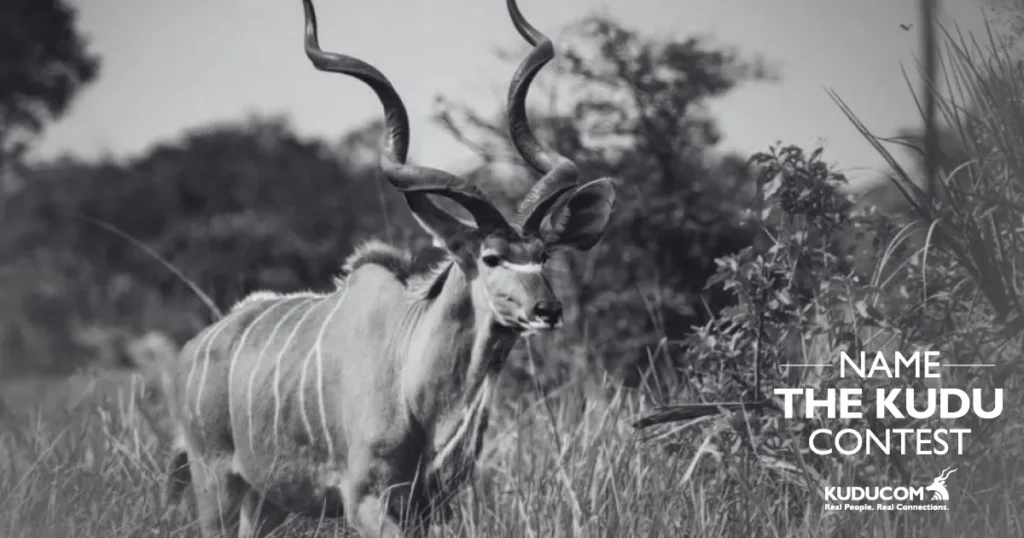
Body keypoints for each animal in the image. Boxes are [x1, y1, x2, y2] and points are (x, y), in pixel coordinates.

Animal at [167, 0, 615, 536]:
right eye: (490, 258)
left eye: (543, 254)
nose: (548, 309)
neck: (413, 382)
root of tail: (192, 351)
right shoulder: (366, 500)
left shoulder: (431, 506)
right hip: (215, 485)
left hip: (265, 503)